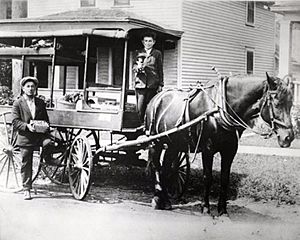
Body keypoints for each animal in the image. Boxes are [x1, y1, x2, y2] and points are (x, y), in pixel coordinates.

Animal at [144, 72, 294, 215]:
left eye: (291, 104)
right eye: (277, 104)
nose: (289, 137)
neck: (219, 109)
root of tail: (156, 98)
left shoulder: (230, 150)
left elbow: (224, 179)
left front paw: (222, 210)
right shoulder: (207, 149)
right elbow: (207, 178)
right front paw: (205, 207)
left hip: (173, 145)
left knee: (166, 168)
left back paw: (165, 201)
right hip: (155, 142)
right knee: (156, 166)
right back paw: (157, 199)